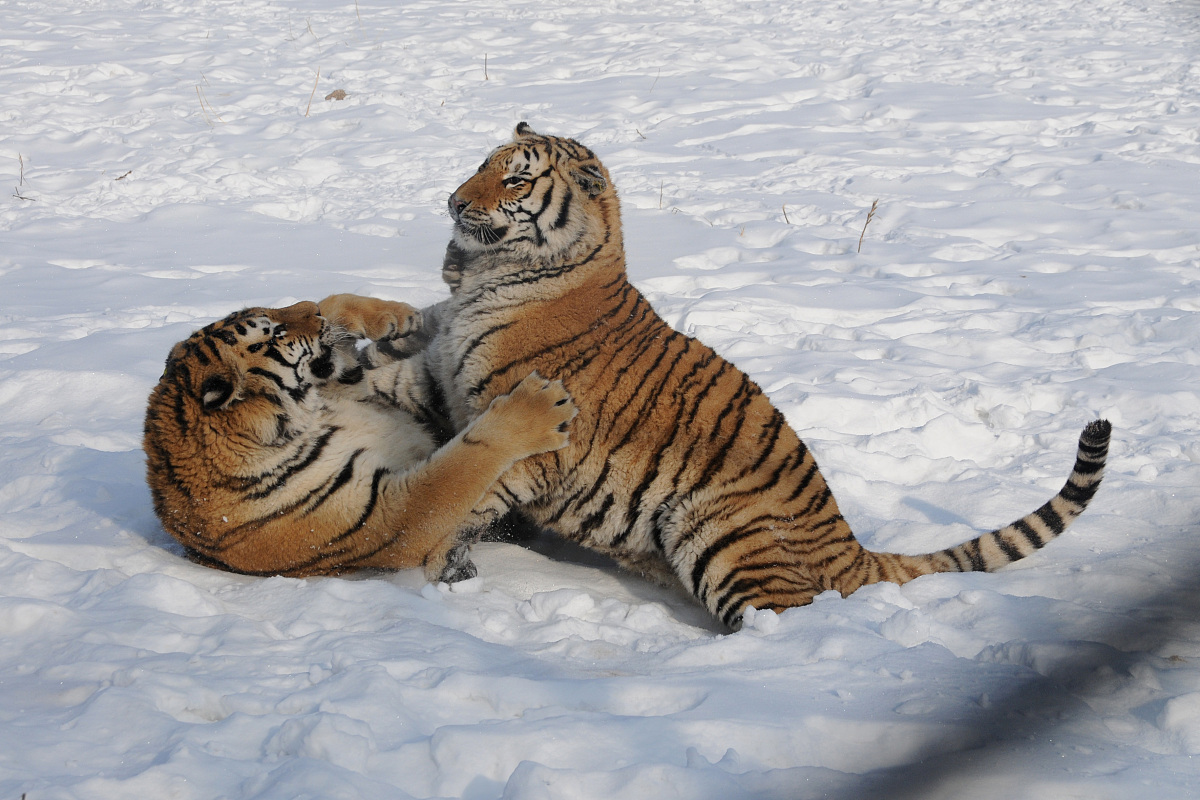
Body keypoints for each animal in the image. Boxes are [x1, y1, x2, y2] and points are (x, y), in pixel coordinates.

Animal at [142, 293, 573, 582]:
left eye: (272, 315)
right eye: (275, 332)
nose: (311, 310)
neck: (308, 417)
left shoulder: (352, 387)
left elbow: (337, 313)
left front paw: (389, 315)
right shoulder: (394, 519)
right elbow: (461, 465)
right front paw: (539, 406)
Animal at [422, 122, 1104, 628]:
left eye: (515, 177)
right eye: (483, 163)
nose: (454, 202)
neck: (492, 275)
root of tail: (850, 547)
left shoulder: (527, 438)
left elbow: (470, 491)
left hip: (723, 534)